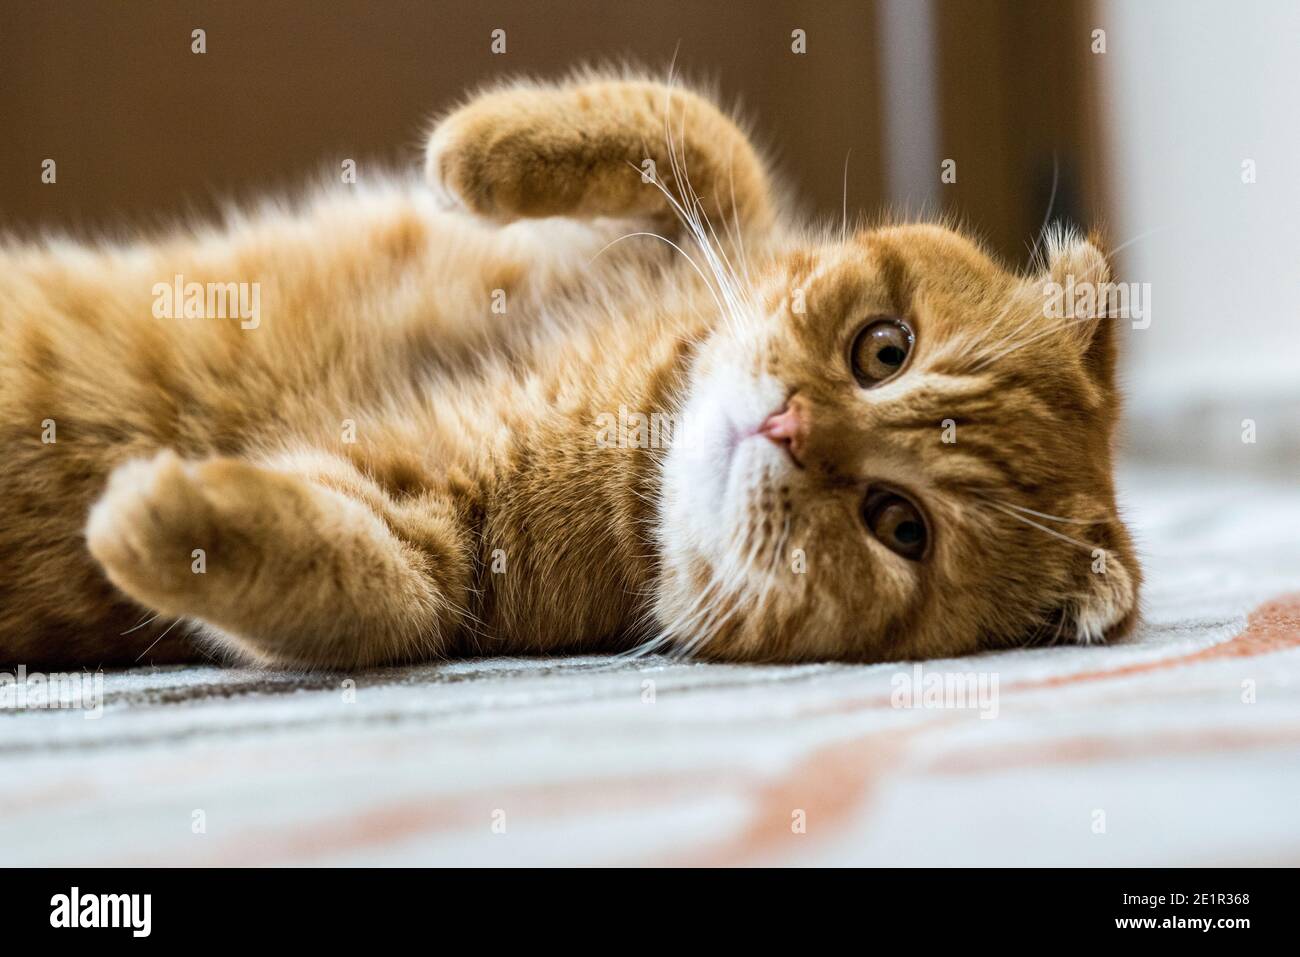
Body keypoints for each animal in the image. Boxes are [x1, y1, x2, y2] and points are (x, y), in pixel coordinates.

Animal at [0, 72, 1138, 665]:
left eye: (899, 526)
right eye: (883, 350)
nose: (789, 425)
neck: (635, 406)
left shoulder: (437, 546)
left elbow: (357, 583)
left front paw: (158, 514)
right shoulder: (710, 222)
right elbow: (688, 129)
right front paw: (475, 148)